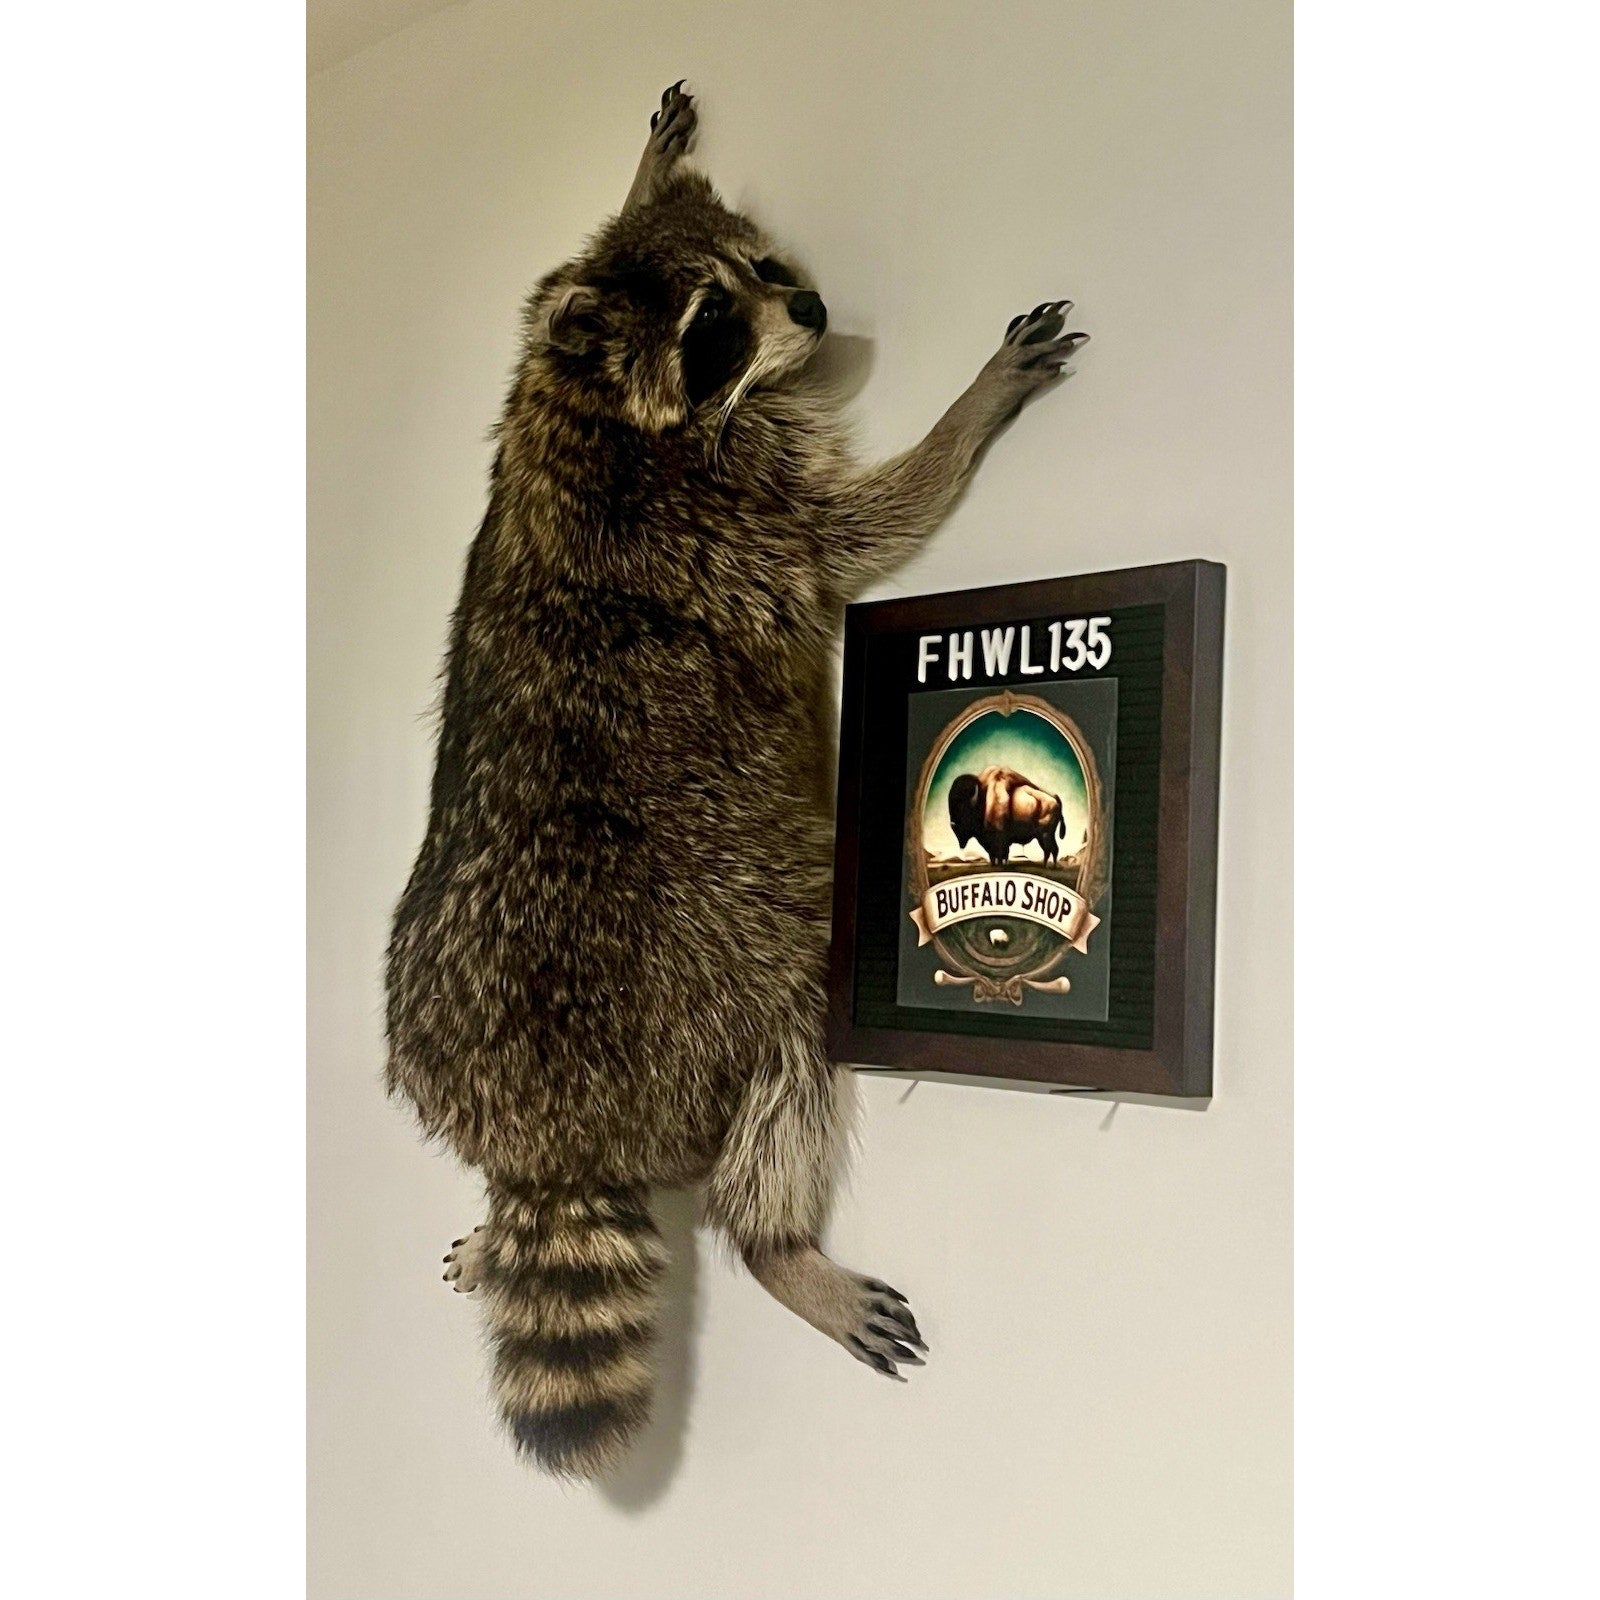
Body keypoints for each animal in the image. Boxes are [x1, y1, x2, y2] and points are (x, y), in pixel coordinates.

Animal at [384, 81, 1089, 1478]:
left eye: (759, 269)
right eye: (713, 323)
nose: (811, 311)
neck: (591, 402)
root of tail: (544, 1134)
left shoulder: (535, 365)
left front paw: (648, 165)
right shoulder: (734, 502)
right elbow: (866, 525)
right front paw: (968, 408)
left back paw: (494, 1229)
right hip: (725, 942)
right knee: (788, 1052)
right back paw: (779, 1245)